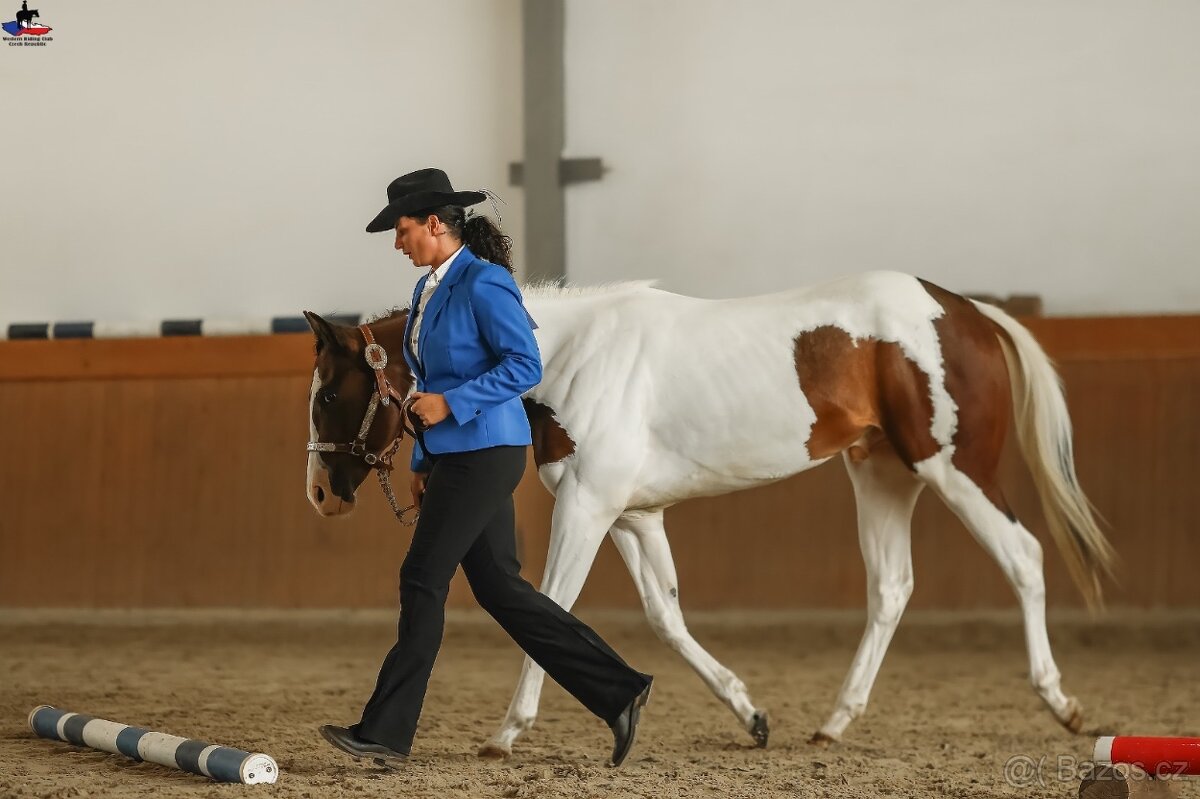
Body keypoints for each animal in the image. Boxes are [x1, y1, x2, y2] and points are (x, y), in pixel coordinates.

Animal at [303, 269, 1113, 755]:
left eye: (333, 392)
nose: (319, 492)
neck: (568, 357)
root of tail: (968, 311)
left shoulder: (589, 507)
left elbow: (552, 605)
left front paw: (508, 731)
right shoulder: (635, 516)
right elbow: (665, 616)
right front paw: (749, 714)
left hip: (954, 470)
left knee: (1024, 559)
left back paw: (1064, 705)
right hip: (881, 474)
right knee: (891, 588)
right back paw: (833, 722)